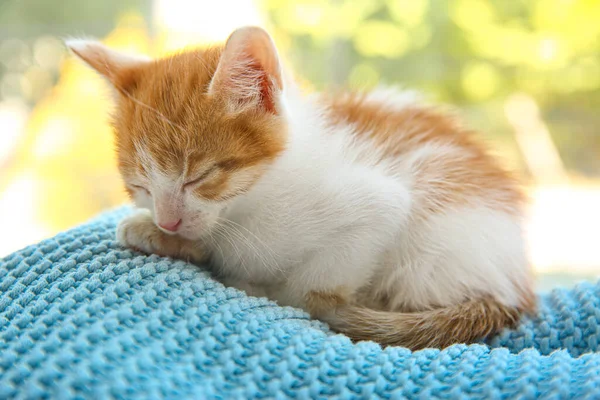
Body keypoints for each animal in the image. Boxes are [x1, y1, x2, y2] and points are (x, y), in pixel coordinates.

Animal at [68, 25, 536, 350]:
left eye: (199, 176)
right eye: (140, 184)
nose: (167, 222)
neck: (254, 203)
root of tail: (517, 286)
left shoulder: (377, 205)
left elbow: (309, 290)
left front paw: (257, 285)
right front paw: (160, 235)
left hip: (431, 244)